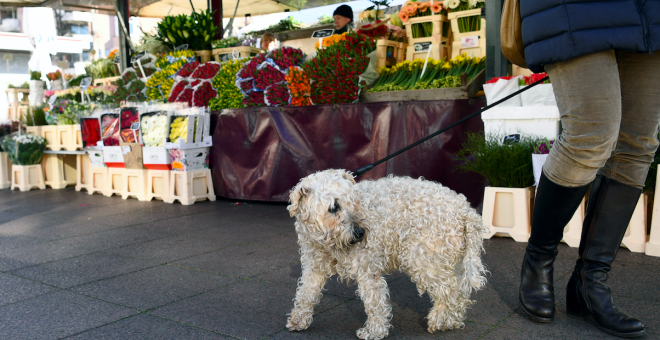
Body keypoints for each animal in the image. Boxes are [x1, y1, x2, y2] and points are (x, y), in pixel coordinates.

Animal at [286, 169, 488, 338]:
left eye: (354, 201)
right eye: (334, 207)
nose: (361, 232)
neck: (327, 242)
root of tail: (466, 210)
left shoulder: (367, 268)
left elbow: (374, 301)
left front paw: (374, 331)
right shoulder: (314, 265)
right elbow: (306, 293)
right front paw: (299, 320)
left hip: (424, 259)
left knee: (450, 290)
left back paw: (440, 321)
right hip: (453, 261)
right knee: (460, 292)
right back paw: (452, 320)